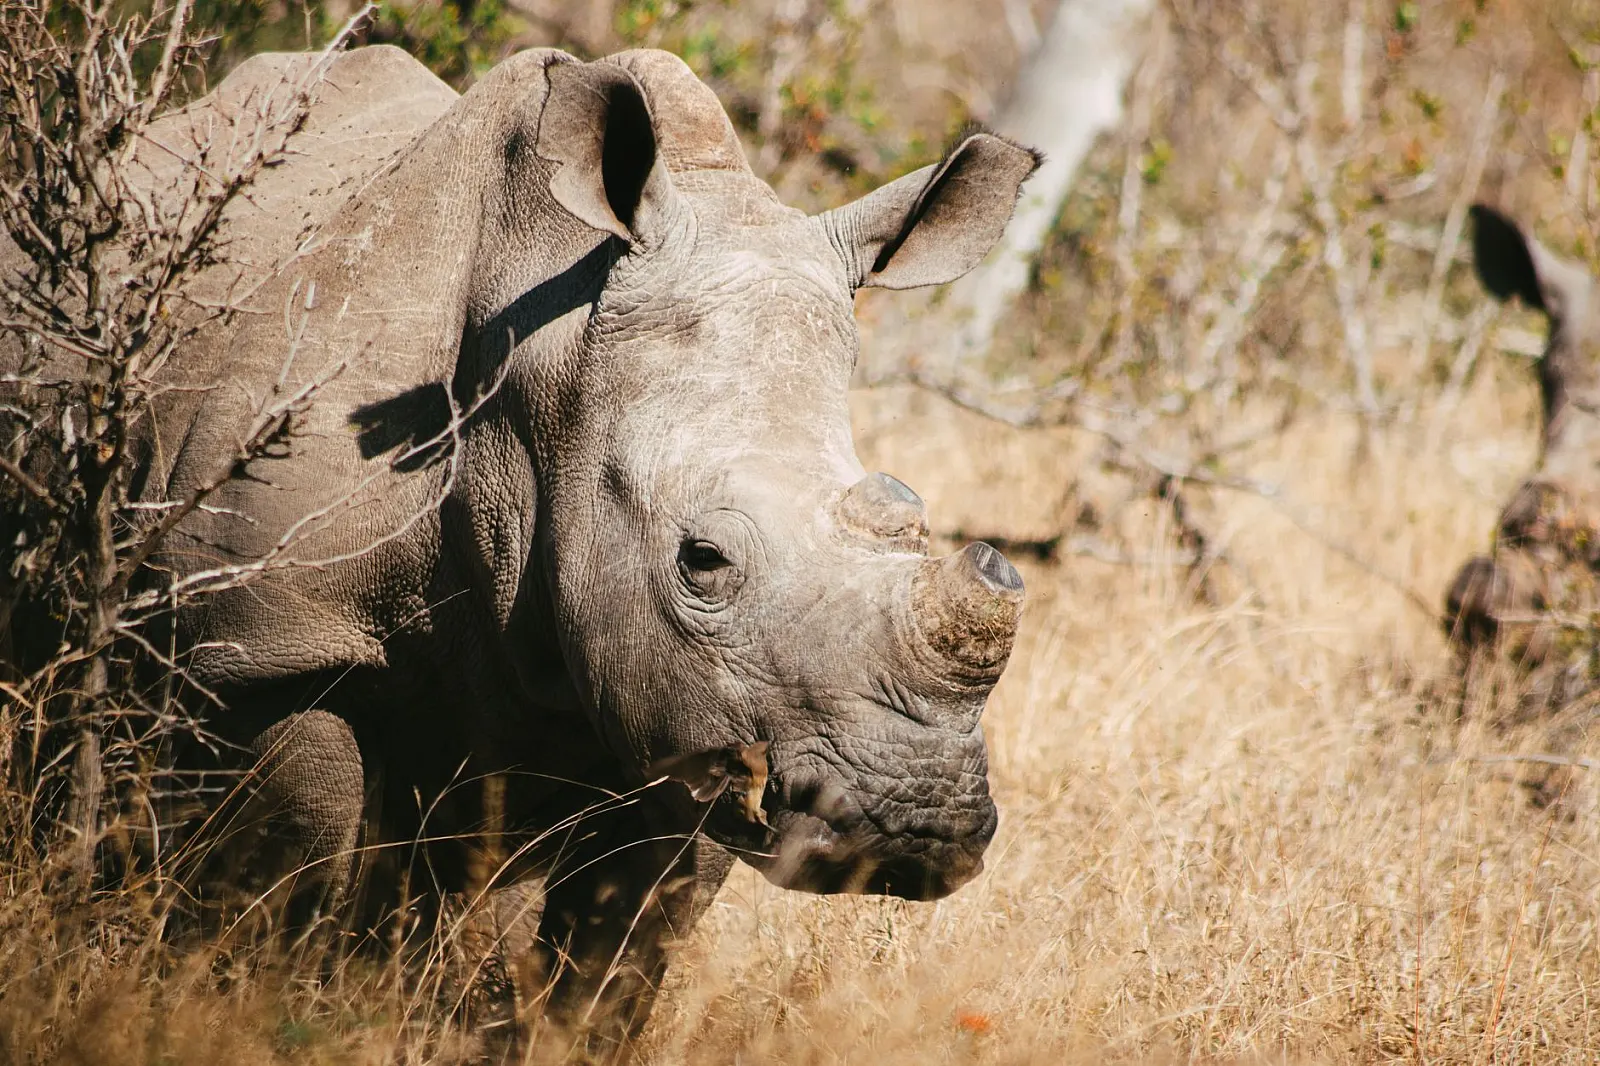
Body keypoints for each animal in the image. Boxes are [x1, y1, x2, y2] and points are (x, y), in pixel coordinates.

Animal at [1, 44, 1039, 1053]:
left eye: (909, 517)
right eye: (701, 560)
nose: (916, 825)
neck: (548, 388)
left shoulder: (695, 717)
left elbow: (611, 968)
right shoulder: (270, 645)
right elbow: (276, 889)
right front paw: (244, 1020)